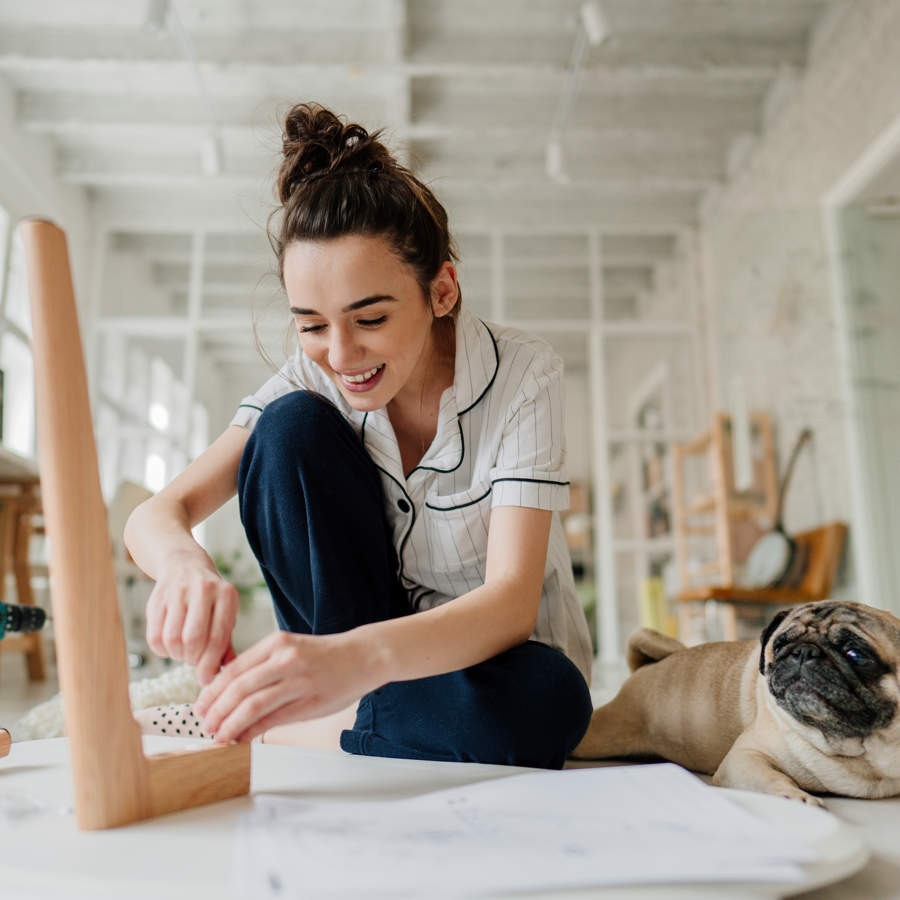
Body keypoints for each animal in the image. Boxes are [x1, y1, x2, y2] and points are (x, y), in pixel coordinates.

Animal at [572, 600, 900, 804]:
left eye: (855, 654)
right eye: (779, 645)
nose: (804, 652)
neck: (865, 749)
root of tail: (643, 668)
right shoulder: (744, 759)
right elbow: (773, 778)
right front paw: (798, 798)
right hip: (599, 734)